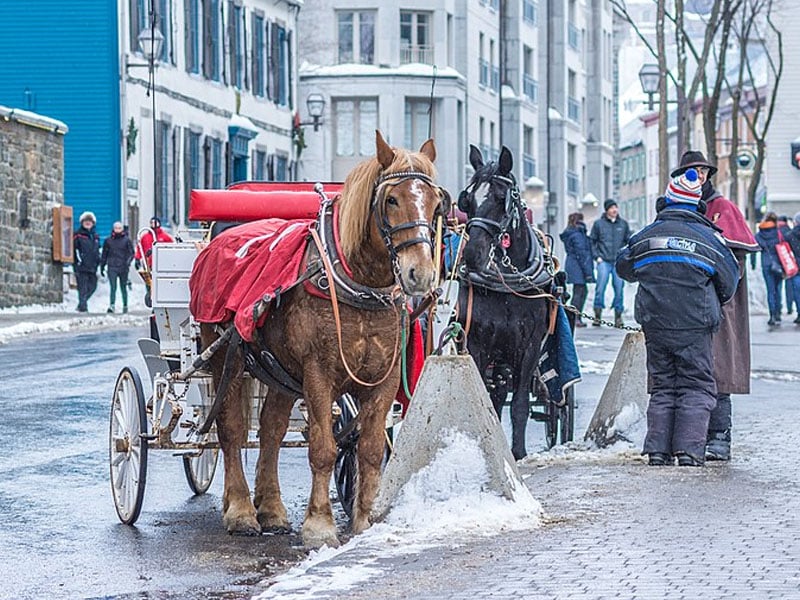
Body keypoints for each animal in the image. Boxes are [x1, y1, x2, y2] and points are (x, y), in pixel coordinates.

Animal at [196, 131, 446, 548]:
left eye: (436, 203)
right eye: (391, 199)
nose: (420, 273)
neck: (358, 285)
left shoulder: (384, 378)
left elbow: (370, 448)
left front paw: (365, 521)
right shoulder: (318, 374)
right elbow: (324, 448)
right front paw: (319, 525)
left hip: (277, 370)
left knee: (271, 429)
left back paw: (272, 509)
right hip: (223, 358)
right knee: (231, 430)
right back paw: (242, 510)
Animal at [456, 144, 556, 460]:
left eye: (502, 199)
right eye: (467, 201)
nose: (471, 255)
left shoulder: (530, 347)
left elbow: (521, 402)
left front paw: (519, 452)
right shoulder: (477, 344)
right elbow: (486, 398)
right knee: (497, 394)